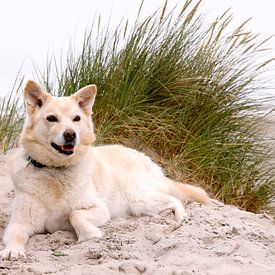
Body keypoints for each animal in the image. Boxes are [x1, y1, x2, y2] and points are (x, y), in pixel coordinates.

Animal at [0, 80, 209, 260]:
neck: (56, 171)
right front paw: (13, 250)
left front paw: (90, 235)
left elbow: (74, 215)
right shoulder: (20, 222)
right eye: (51, 119)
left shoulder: (99, 208)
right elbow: (14, 235)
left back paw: (181, 219)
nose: (71, 135)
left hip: (140, 199)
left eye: (76, 119)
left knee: (175, 200)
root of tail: (145, 157)